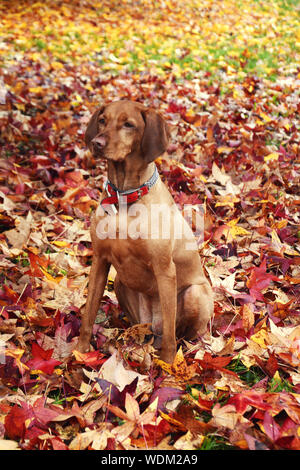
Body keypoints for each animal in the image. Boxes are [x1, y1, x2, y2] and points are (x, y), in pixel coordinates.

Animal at [77, 100, 213, 364]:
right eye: (102, 120)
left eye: (129, 124)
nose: (96, 143)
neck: (123, 197)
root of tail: (152, 329)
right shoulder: (99, 260)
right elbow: (88, 313)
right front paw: (77, 352)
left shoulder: (164, 270)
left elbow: (170, 338)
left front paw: (169, 366)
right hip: (121, 283)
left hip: (195, 294)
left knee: (180, 334)